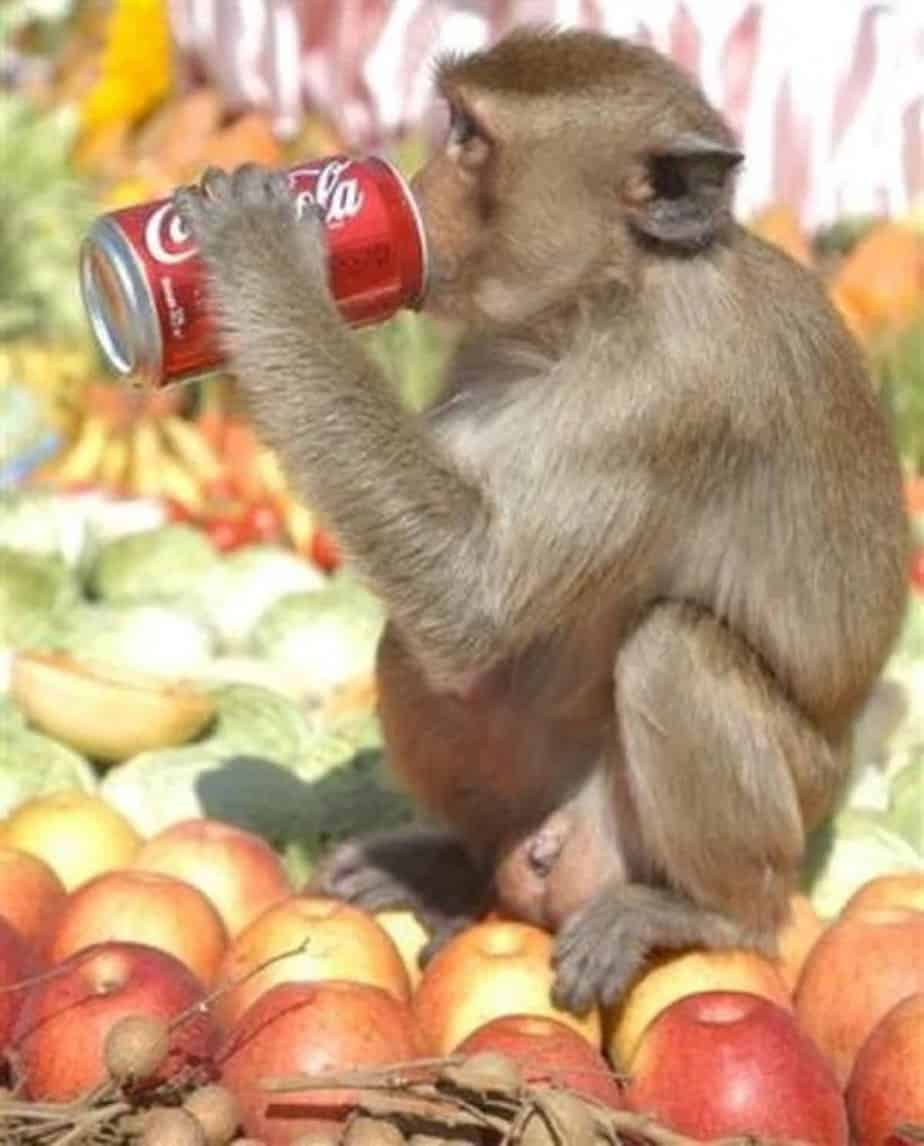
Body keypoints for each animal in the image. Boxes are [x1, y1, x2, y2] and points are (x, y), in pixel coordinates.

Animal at [174, 26, 910, 1018]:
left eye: (471, 140)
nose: (414, 186)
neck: (605, 296)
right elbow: (452, 601)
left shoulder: (662, 394)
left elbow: (468, 593)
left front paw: (262, 253)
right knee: (414, 653)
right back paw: (454, 866)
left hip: (782, 801)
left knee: (673, 649)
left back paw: (714, 914)